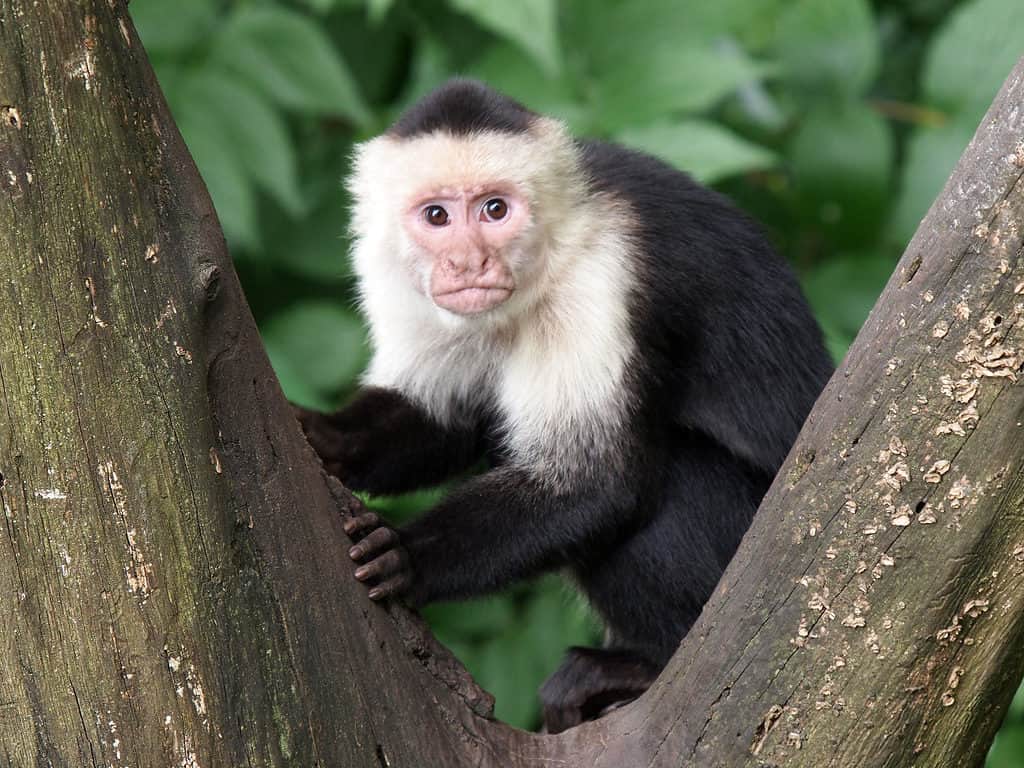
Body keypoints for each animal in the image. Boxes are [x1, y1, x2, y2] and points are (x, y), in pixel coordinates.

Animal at [296, 81, 831, 737]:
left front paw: (408, 555)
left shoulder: (599, 277)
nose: (469, 263)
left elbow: (592, 484)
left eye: (495, 210)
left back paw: (647, 665)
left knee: (670, 478)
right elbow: (447, 420)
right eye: (437, 216)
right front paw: (326, 437)